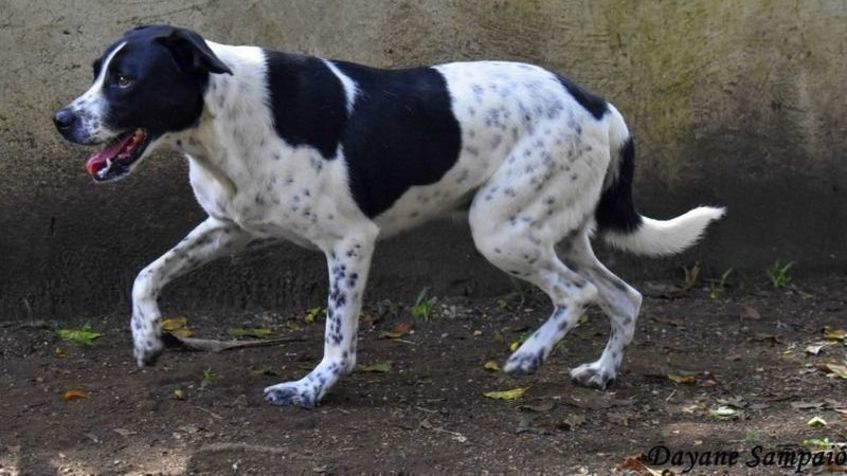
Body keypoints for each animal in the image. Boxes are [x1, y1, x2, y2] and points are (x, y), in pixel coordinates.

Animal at [54, 24, 728, 408]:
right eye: (95, 72)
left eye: (126, 79)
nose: (62, 120)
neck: (224, 117)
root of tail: (601, 106)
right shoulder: (229, 229)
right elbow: (146, 274)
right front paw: (146, 339)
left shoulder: (350, 242)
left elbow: (338, 337)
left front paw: (312, 389)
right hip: (555, 232)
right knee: (624, 296)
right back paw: (603, 374)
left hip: (500, 231)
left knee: (579, 294)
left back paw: (529, 357)